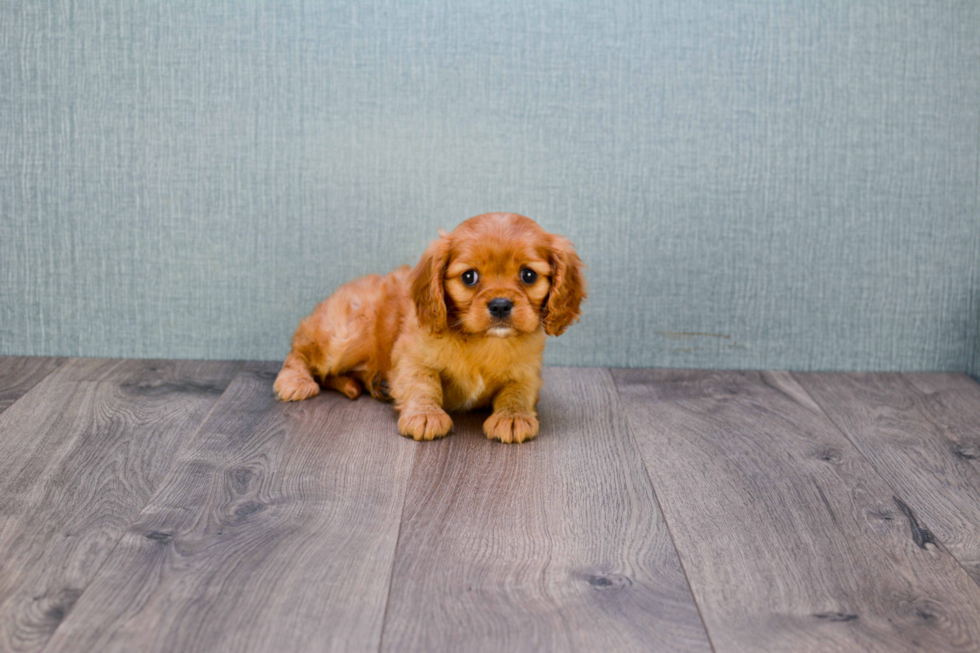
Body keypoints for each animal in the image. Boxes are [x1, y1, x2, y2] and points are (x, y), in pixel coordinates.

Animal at [272, 214, 584, 444]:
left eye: (528, 275)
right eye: (469, 277)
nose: (500, 305)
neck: (484, 342)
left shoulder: (527, 372)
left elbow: (517, 392)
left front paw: (513, 417)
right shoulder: (412, 356)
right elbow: (423, 384)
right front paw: (425, 415)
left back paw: (377, 384)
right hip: (345, 335)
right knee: (301, 351)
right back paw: (295, 381)